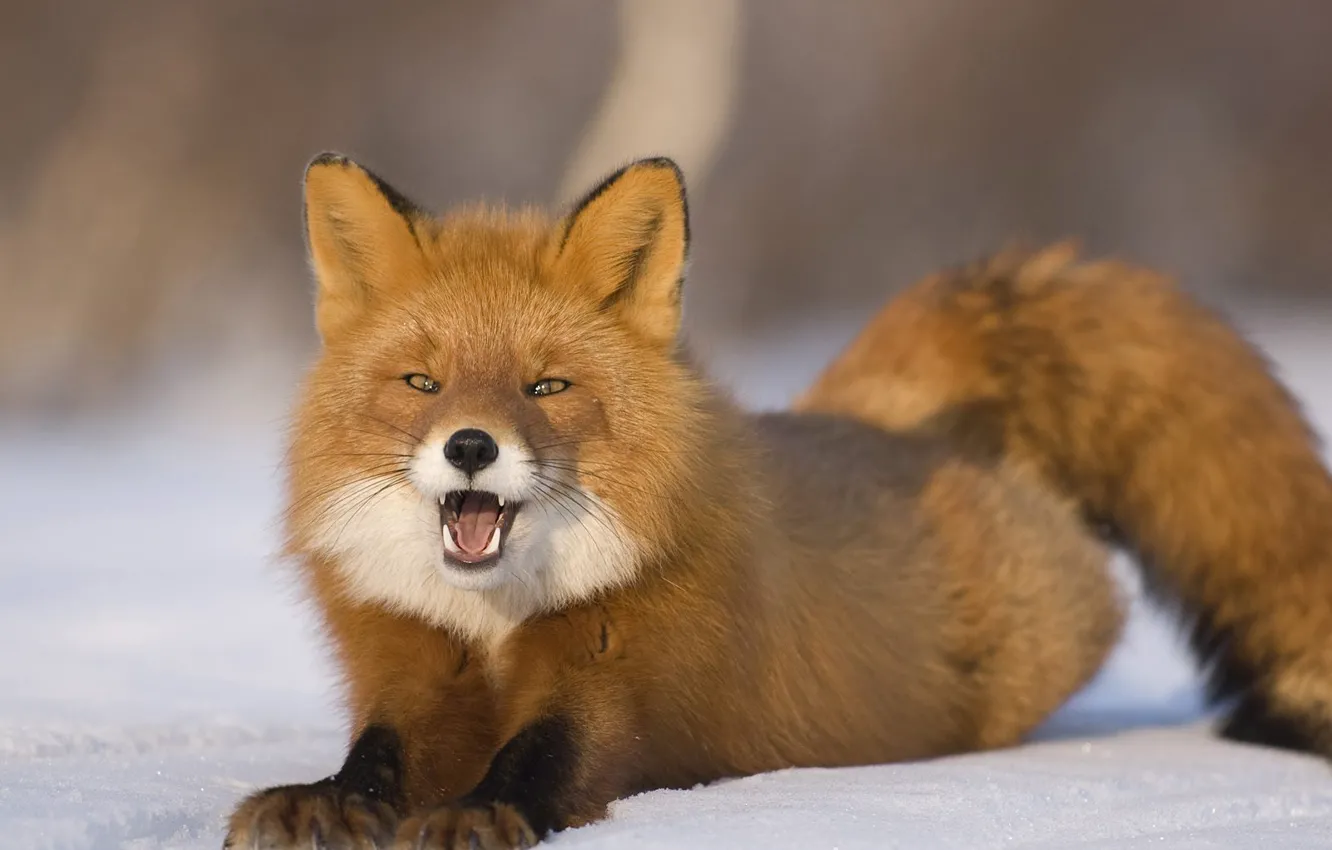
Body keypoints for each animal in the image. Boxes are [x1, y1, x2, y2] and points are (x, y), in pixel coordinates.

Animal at [224, 154, 1332, 849]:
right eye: (423, 383)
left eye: (546, 386)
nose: (469, 447)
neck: (498, 622)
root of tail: (888, 420)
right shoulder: (409, 664)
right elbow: (376, 756)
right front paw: (324, 802)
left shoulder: (625, 679)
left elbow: (545, 758)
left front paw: (478, 814)